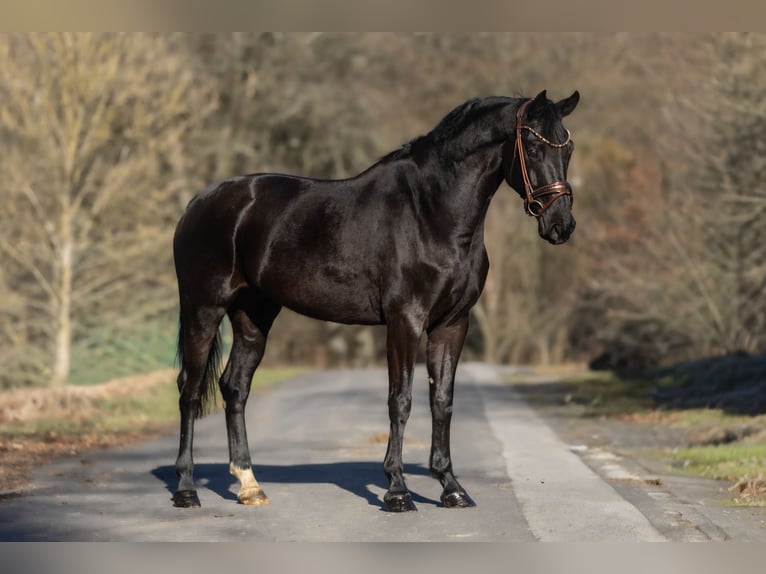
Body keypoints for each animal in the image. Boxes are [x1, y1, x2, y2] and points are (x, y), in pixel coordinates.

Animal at [172, 89, 580, 512]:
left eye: (567, 147)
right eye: (532, 146)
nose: (561, 225)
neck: (431, 211)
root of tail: (198, 203)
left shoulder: (452, 324)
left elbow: (442, 400)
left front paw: (451, 487)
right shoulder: (405, 320)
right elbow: (400, 400)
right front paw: (397, 490)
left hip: (254, 315)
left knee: (234, 387)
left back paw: (249, 485)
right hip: (203, 308)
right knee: (189, 389)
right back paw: (186, 489)